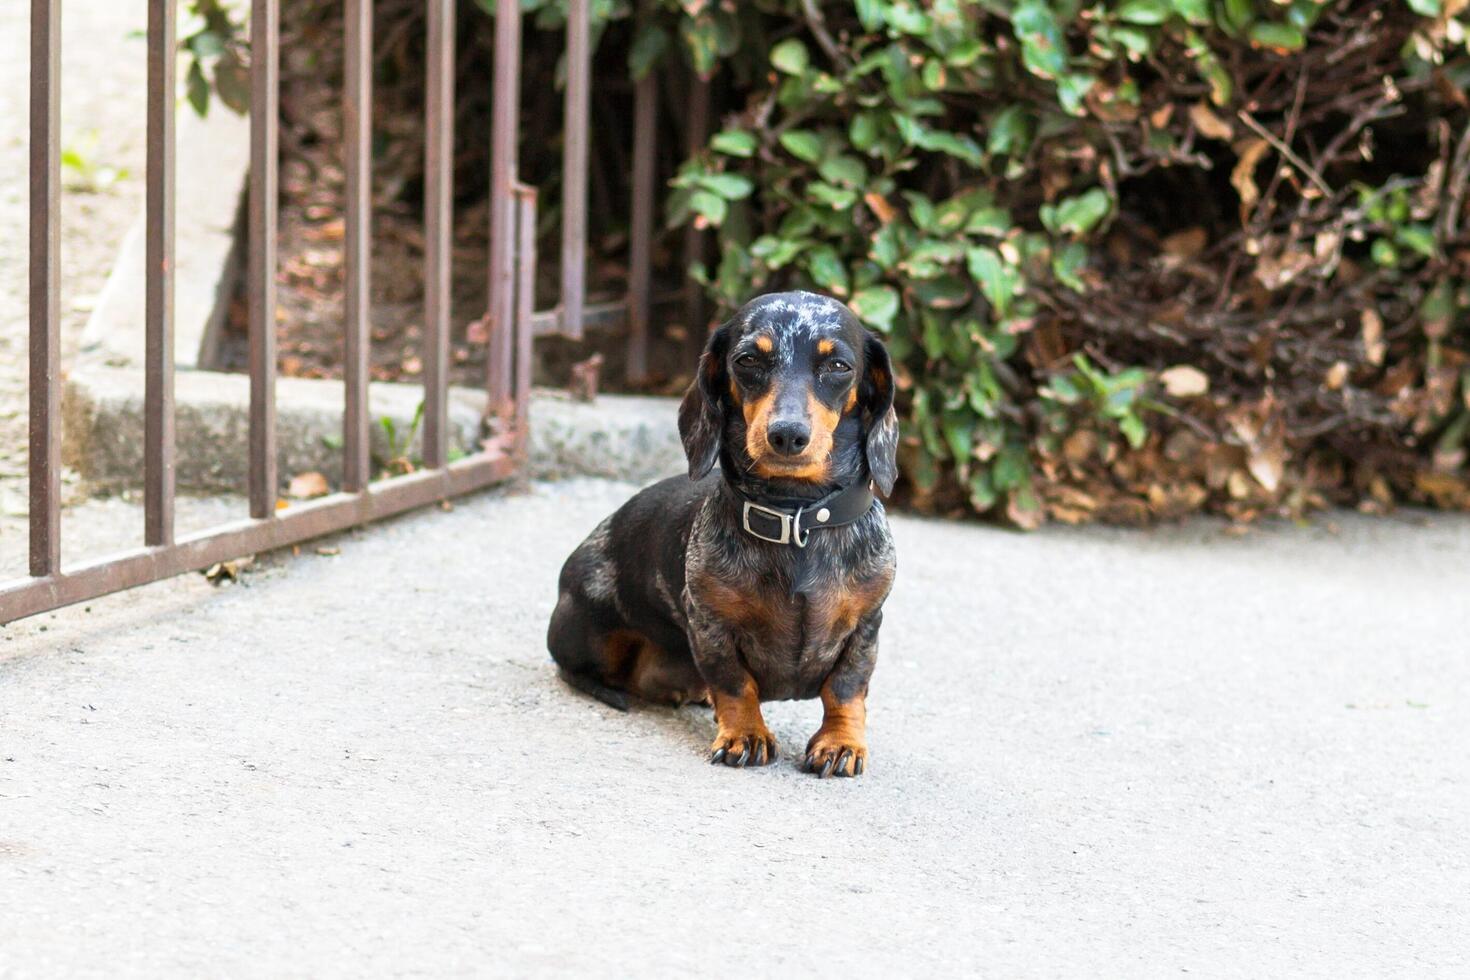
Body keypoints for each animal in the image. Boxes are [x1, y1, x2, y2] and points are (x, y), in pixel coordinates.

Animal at [549, 290, 893, 781]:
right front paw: (744, 734)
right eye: (748, 360)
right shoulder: (710, 622)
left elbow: (846, 687)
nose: (787, 435)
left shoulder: (867, 624)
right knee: (574, 667)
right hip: (588, 629)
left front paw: (840, 743)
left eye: (839, 366)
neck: (796, 515)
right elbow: (733, 683)